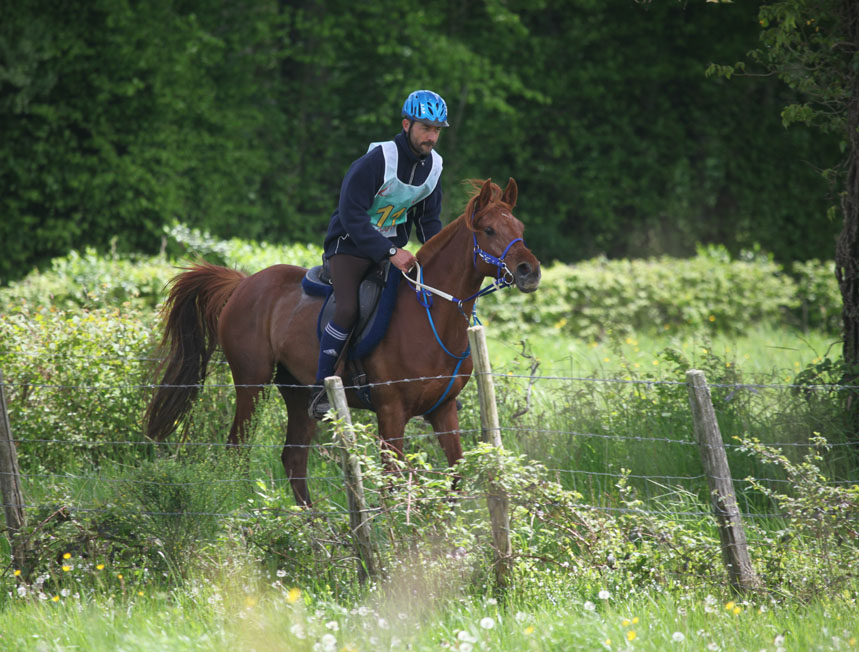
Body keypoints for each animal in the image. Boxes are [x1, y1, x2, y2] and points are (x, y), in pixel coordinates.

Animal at [144, 177, 541, 506]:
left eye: (520, 228)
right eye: (489, 229)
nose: (530, 272)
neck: (429, 315)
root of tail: (243, 283)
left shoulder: (443, 411)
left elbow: (456, 477)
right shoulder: (391, 413)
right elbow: (393, 484)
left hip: (298, 392)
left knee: (294, 459)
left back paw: (314, 531)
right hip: (251, 384)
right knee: (237, 450)